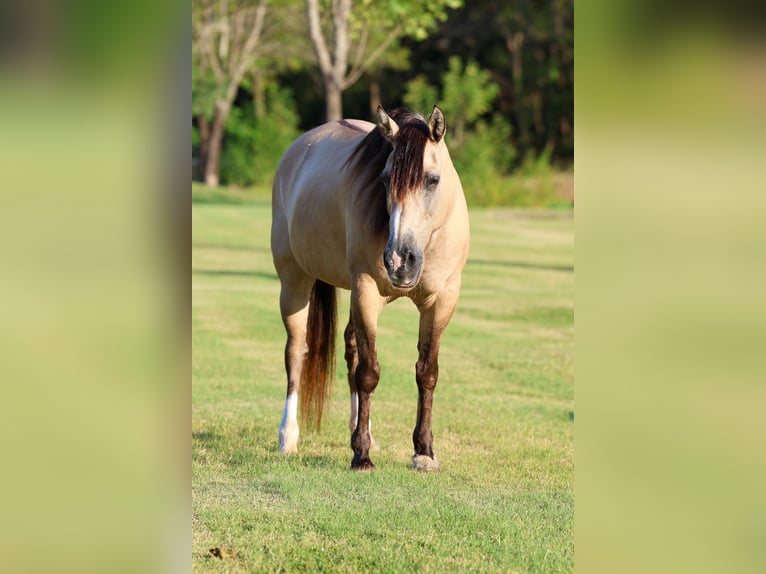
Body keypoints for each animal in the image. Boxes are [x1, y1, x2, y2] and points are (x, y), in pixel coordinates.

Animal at [271, 105, 470, 471]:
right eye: (385, 179)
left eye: (432, 180)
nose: (399, 259)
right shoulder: (366, 291)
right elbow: (369, 373)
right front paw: (360, 455)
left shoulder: (442, 301)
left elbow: (427, 373)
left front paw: (424, 451)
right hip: (294, 283)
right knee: (296, 353)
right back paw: (288, 438)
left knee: (350, 348)